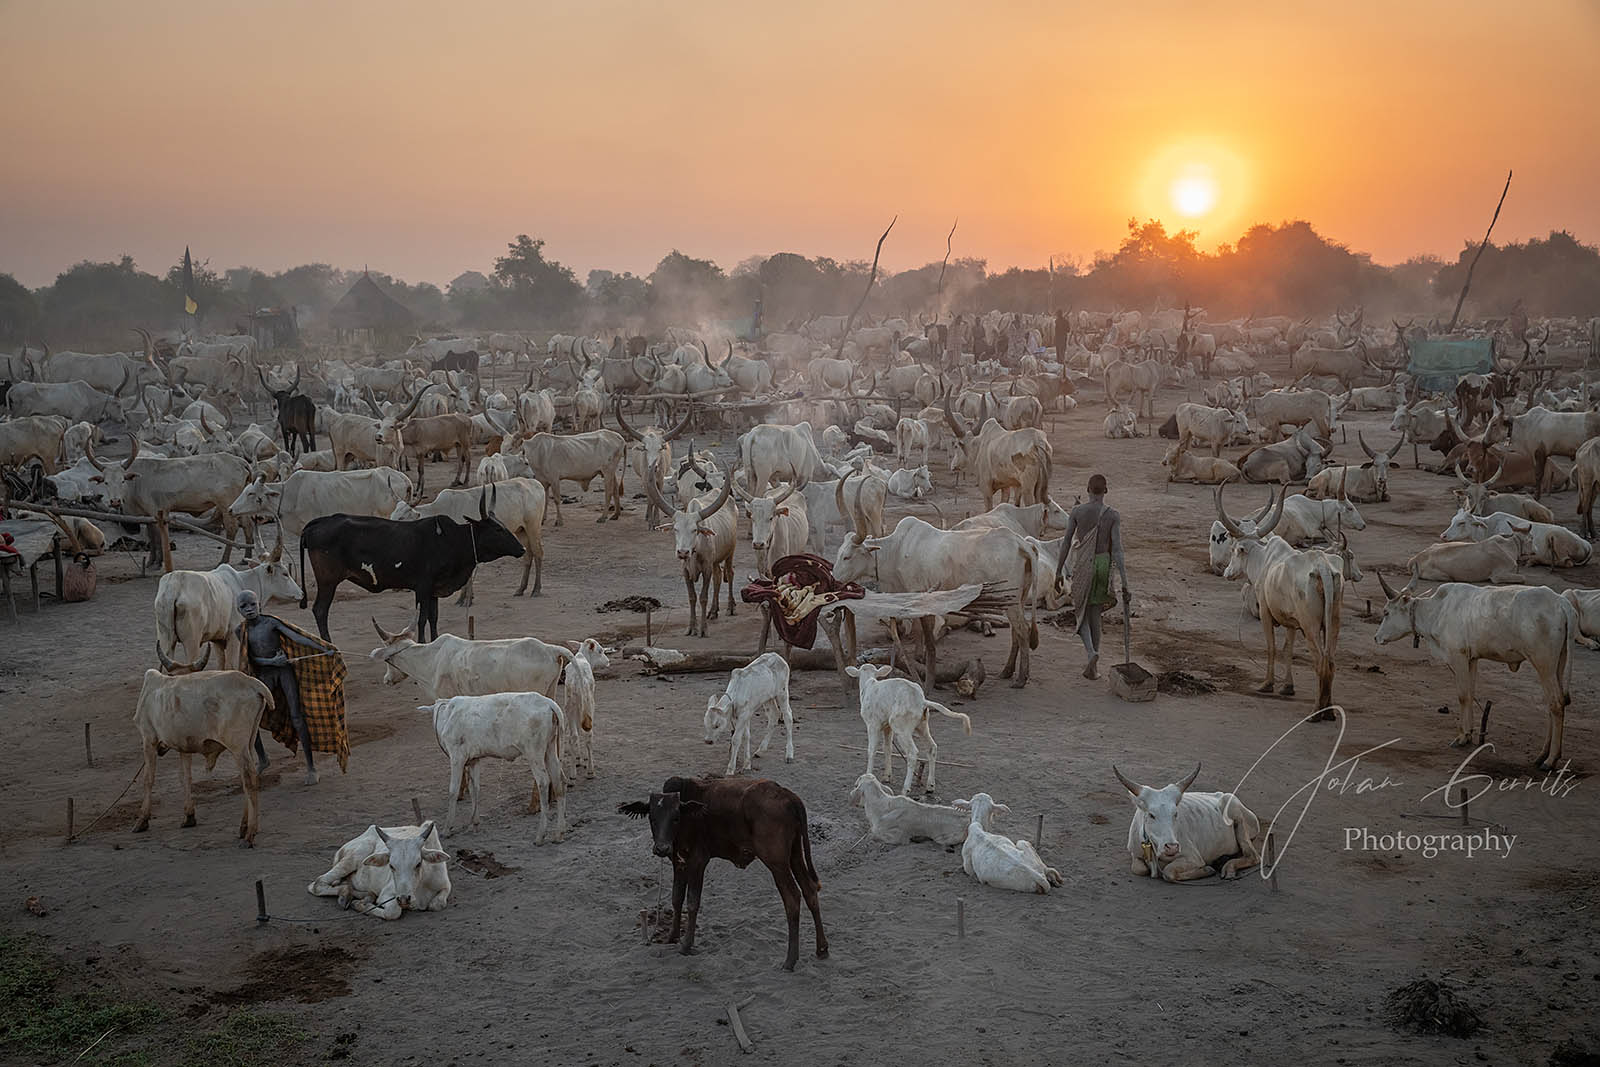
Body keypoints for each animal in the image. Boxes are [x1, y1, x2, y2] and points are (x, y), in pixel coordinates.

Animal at [135, 644, 274, 847]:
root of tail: (250, 682)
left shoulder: (148, 739)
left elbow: (148, 779)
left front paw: (142, 820)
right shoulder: (183, 745)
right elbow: (185, 778)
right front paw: (188, 816)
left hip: (238, 746)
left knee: (250, 780)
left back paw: (250, 834)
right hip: (248, 743)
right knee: (246, 778)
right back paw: (243, 827)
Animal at [299, 490, 525, 641]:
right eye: (497, 529)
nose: (522, 549)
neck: (450, 540)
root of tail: (319, 522)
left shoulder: (434, 590)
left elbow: (434, 617)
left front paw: (435, 641)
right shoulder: (422, 587)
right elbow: (422, 618)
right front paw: (423, 643)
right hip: (328, 581)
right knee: (320, 610)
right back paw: (329, 645)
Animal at [618, 776, 827, 971]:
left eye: (675, 817)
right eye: (652, 818)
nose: (661, 848)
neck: (688, 814)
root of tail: (788, 796)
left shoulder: (698, 861)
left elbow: (692, 901)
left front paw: (686, 945)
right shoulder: (678, 861)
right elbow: (676, 898)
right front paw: (672, 937)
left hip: (777, 863)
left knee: (792, 898)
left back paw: (790, 960)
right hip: (794, 854)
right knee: (809, 889)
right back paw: (822, 949)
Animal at [1374, 574, 1575, 770]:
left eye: (1386, 612)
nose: (1376, 637)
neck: (1437, 611)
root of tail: (1560, 601)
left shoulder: (1459, 656)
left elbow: (1463, 696)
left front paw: (1461, 738)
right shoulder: (1471, 659)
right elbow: (1470, 695)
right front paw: (1468, 734)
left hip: (1543, 664)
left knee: (1556, 704)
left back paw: (1551, 759)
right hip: (1558, 664)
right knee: (1552, 705)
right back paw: (1542, 755)